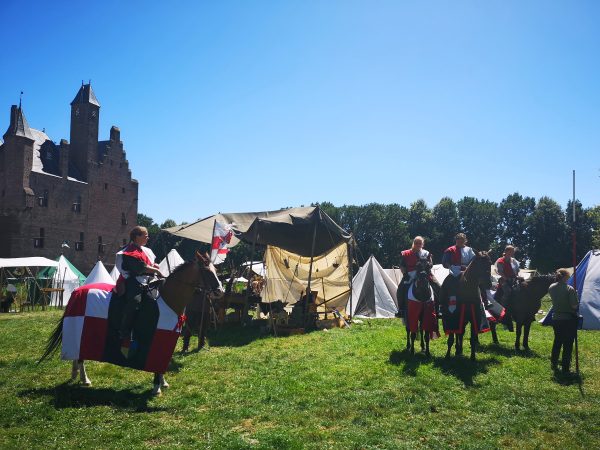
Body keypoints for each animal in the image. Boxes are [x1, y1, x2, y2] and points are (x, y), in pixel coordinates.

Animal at [40, 251, 223, 396]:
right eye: (207, 271)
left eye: (216, 270)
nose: (219, 291)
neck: (167, 298)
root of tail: (77, 292)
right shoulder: (156, 338)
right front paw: (156, 387)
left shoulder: (166, 338)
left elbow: (163, 361)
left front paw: (162, 382)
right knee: (80, 357)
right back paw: (85, 379)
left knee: (77, 354)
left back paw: (76, 374)